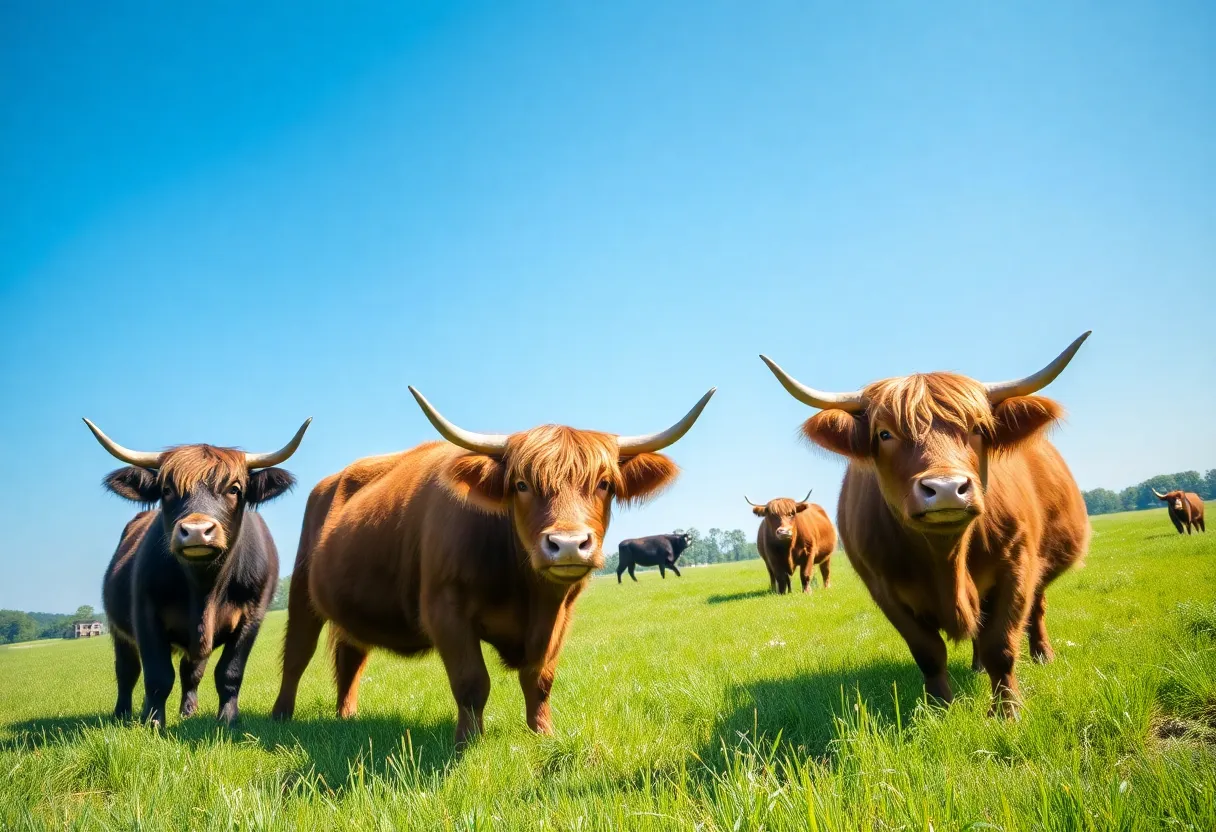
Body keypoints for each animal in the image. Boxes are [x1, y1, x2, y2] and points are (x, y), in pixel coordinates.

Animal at [84, 418, 309, 726]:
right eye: (166, 490)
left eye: (234, 489)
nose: (197, 531)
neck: (205, 589)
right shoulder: (145, 614)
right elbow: (157, 676)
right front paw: (154, 723)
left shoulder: (252, 617)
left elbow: (228, 672)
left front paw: (227, 720)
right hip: (119, 630)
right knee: (127, 671)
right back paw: (123, 714)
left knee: (190, 671)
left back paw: (187, 710)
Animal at [271, 386, 714, 746]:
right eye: (521, 484)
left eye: (605, 483)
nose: (569, 544)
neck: (529, 594)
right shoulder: (445, 609)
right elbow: (472, 682)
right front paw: (468, 742)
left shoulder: (561, 615)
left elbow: (540, 679)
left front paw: (543, 733)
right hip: (301, 593)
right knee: (297, 654)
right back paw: (280, 717)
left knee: (351, 658)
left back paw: (346, 716)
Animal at [760, 332, 1092, 716]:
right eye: (885, 434)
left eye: (978, 428)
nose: (947, 488)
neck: (946, 557)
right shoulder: (884, 588)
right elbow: (929, 652)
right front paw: (940, 710)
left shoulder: (1017, 564)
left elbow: (1001, 645)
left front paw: (1007, 713)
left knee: (1035, 610)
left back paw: (1042, 655)